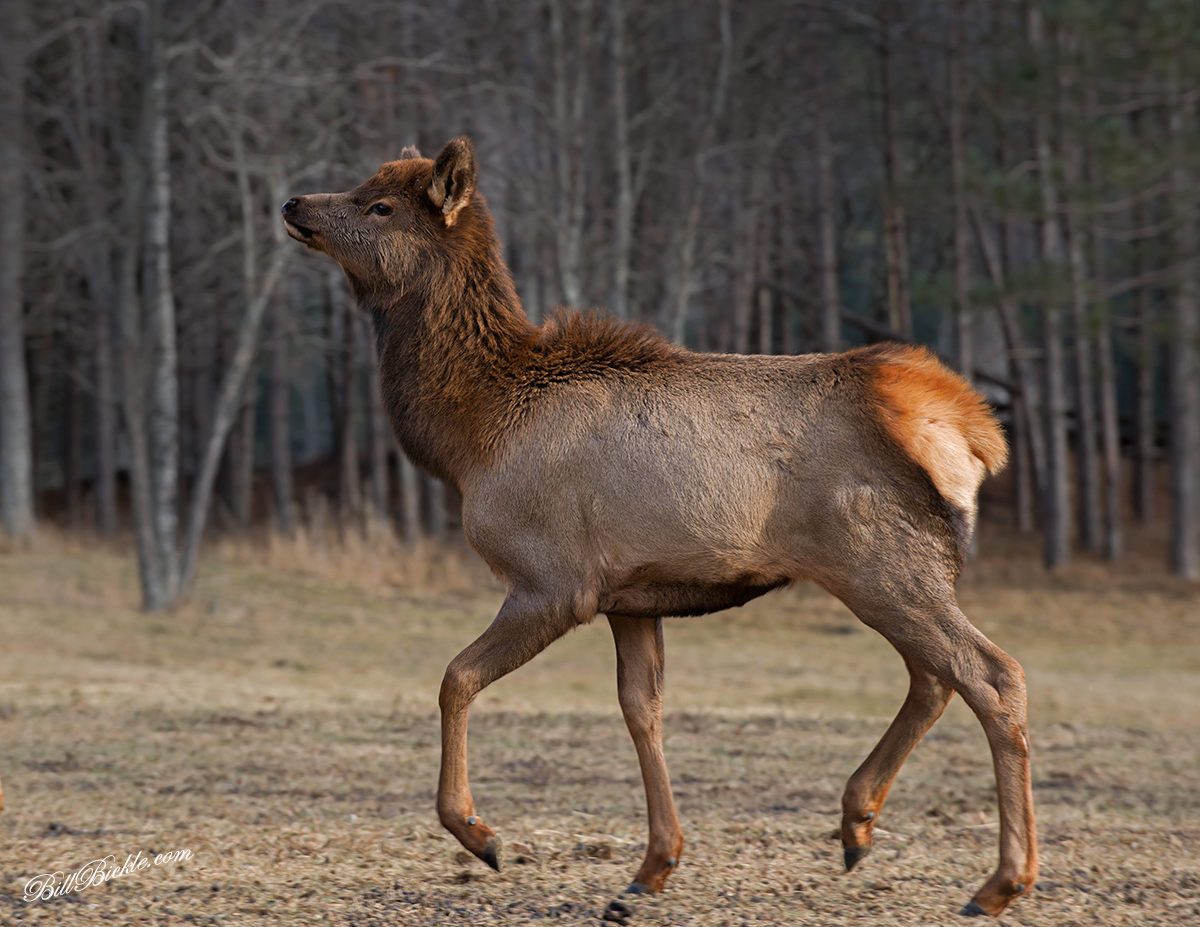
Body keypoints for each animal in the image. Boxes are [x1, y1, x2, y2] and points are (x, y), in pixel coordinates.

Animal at [281, 136, 1036, 919]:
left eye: (379, 205)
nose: (294, 201)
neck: (471, 435)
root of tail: (972, 430)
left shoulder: (554, 580)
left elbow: (455, 677)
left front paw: (481, 834)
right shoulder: (631, 595)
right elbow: (641, 709)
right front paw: (652, 864)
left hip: (879, 560)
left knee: (990, 673)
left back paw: (1000, 881)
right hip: (896, 567)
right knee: (934, 676)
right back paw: (858, 822)